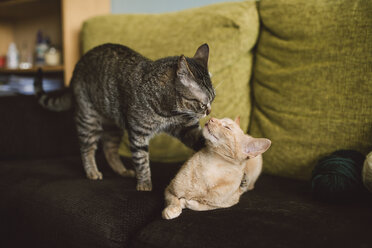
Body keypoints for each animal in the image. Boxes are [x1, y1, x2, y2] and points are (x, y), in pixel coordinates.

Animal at [35, 42, 215, 191]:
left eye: (212, 99)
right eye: (203, 103)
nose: (209, 111)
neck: (169, 113)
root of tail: (74, 72)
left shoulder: (186, 128)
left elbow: (199, 137)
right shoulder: (138, 134)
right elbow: (141, 160)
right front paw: (144, 184)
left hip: (113, 126)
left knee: (109, 149)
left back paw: (121, 170)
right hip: (88, 119)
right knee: (87, 149)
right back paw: (92, 171)